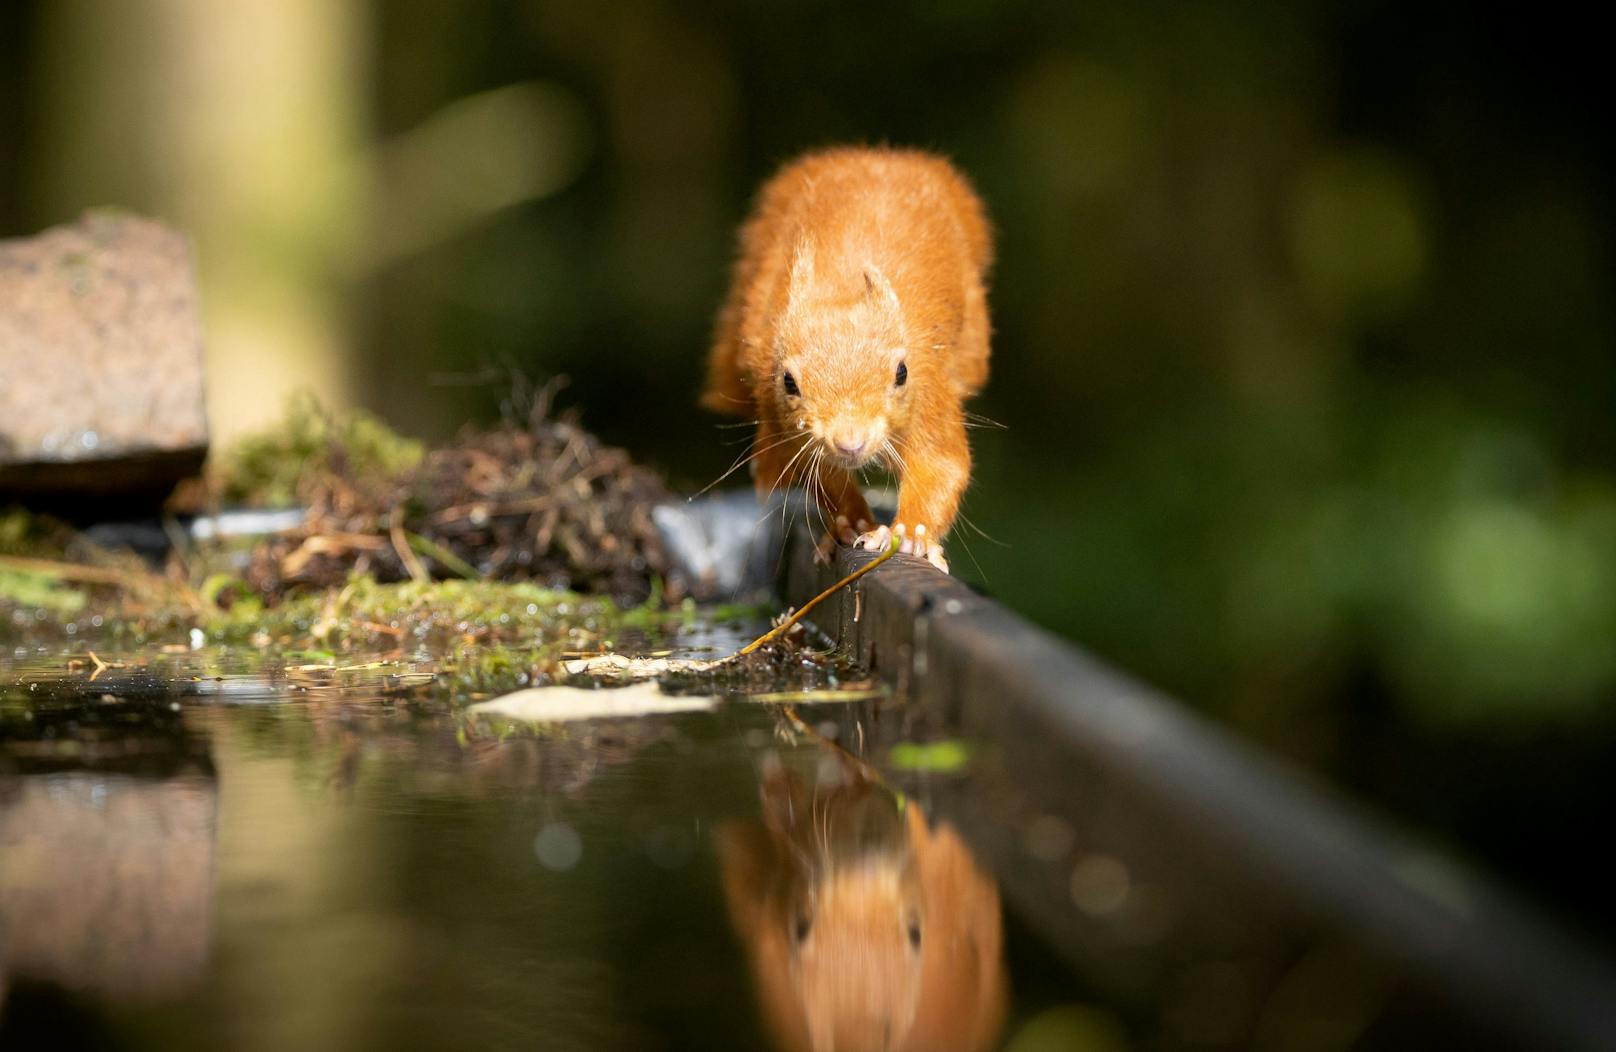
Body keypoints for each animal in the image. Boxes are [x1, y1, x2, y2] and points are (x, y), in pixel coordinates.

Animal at [701, 146, 988, 575]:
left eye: (901, 373)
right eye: (788, 382)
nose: (850, 443)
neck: (841, 289)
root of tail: (878, 155)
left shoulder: (931, 393)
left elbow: (942, 465)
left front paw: (912, 536)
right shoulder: (790, 428)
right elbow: (820, 476)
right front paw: (853, 523)